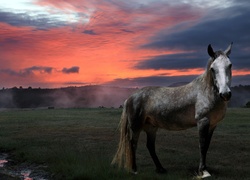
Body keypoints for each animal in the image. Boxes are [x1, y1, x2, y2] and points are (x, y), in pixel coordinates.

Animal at [111, 43, 232, 178]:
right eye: (212, 69)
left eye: (229, 65)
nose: (225, 94)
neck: (206, 91)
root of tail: (130, 98)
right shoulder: (203, 121)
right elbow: (202, 145)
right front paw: (203, 171)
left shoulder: (212, 125)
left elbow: (206, 146)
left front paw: (205, 169)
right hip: (136, 127)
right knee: (133, 144)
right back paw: (134, 170)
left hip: (151, 127)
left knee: (150, 146)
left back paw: (160, 169)